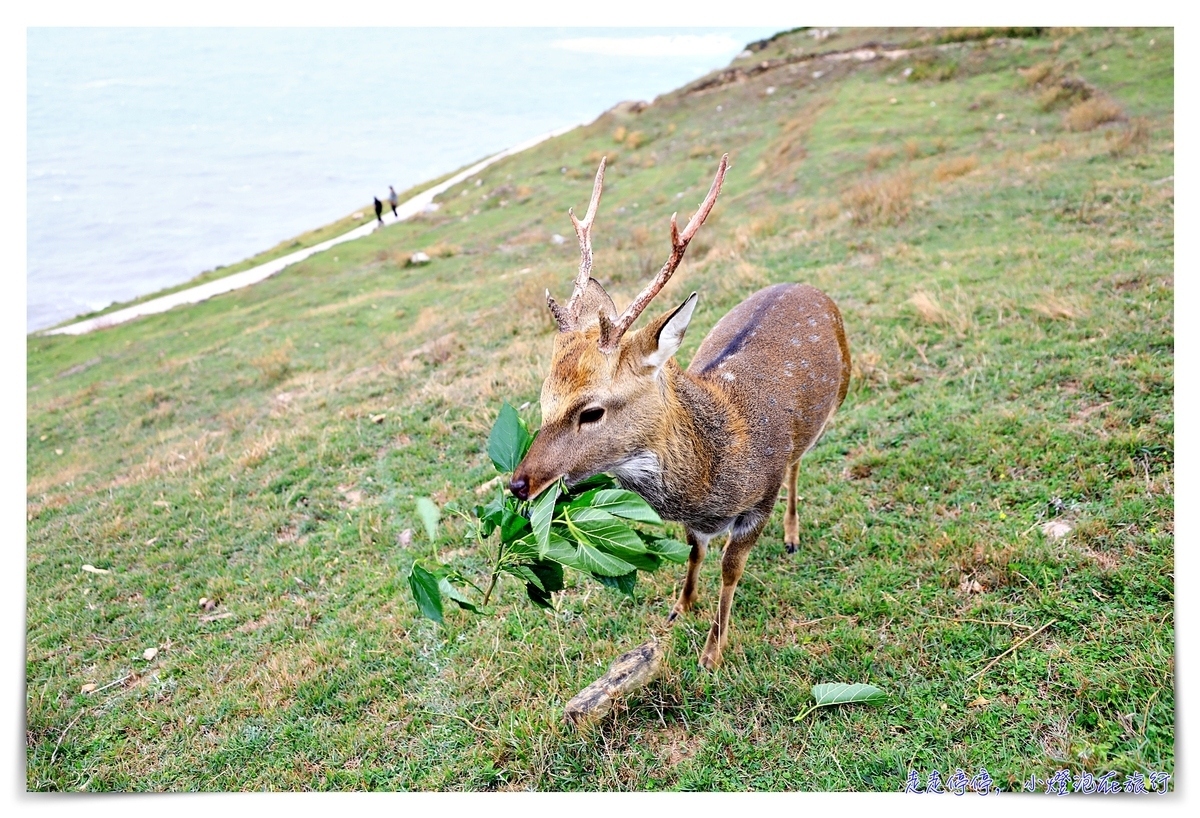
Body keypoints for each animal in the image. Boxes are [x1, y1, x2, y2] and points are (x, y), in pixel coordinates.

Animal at [511, 155, 849, 666]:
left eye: (591, 411)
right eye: (545, 396)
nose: (518, 484)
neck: (716, 468)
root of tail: (811, 288)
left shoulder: (758, 501)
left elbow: (731, 569)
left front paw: (713, 650)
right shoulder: (696, 525)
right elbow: (694, 552)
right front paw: (679, 607)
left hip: (837, 399)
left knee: (798, 462)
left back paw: (792, 536)